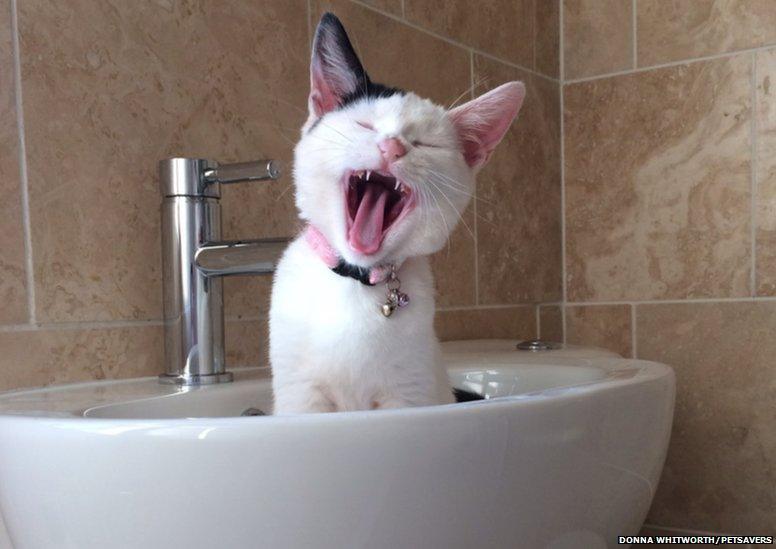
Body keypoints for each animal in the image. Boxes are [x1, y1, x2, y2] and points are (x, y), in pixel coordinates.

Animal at [268, 12, 528, 414]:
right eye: (364, 125)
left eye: (426, 144)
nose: (393, 147)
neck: (356, 282)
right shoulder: (301, 396)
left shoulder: (407, 396)